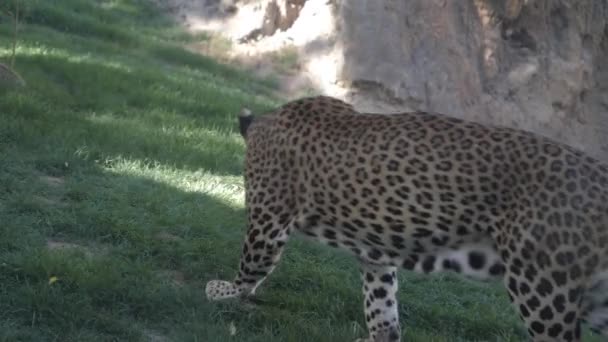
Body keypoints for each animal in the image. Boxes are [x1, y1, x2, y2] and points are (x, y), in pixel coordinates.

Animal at [205, 95, 608, 342]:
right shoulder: (375, 252)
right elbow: (381, 304)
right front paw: (379, 336)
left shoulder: (268, 220)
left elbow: (249, 268)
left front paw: (221, 290)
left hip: (542, 289)